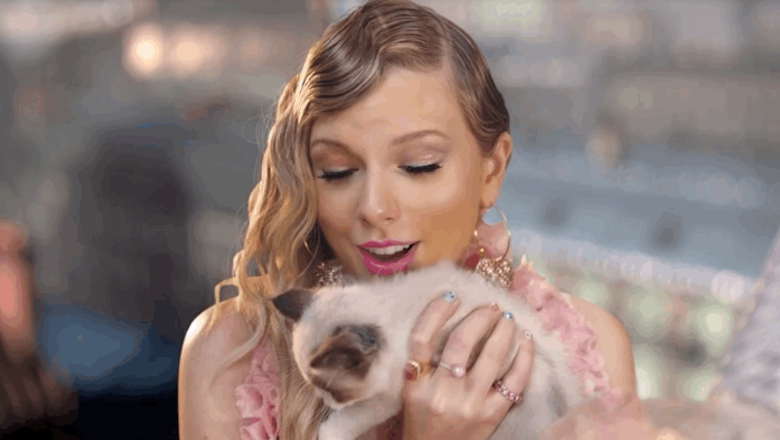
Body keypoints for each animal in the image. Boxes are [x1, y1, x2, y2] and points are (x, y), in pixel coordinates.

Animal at [272, 261, 585, 440]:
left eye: (333, 391)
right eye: (321, 390)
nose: (325, 400)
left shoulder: (388, 395)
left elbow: (347, 420)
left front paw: (330, 429)